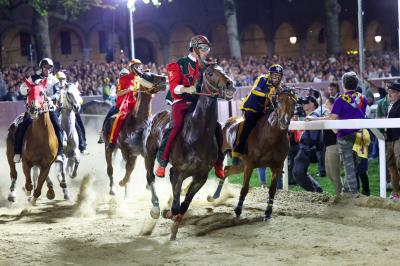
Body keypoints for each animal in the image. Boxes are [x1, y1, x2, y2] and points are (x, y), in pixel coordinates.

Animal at [142, 63, 236, 240]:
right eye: (210, 73)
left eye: (223, 69)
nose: (231, 86)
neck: (198, 136)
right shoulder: (176, 173)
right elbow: (176, 206)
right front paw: (167, 212)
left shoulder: (201, 177)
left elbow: (184, 204)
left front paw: (174, 228)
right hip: (149, 154)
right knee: (150, 178)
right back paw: (156, 208)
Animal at [206, 89, 296, 220]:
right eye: (279, 101)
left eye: (294, 103)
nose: (284, 121)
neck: (271, 137)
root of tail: (227, 122)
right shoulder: (250, 164)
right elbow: (244, 188)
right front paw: (238, 209)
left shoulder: (277, 166)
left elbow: (272, 190)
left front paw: (268, 212)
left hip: (240, 165)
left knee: (226, 170)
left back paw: (214, 196)